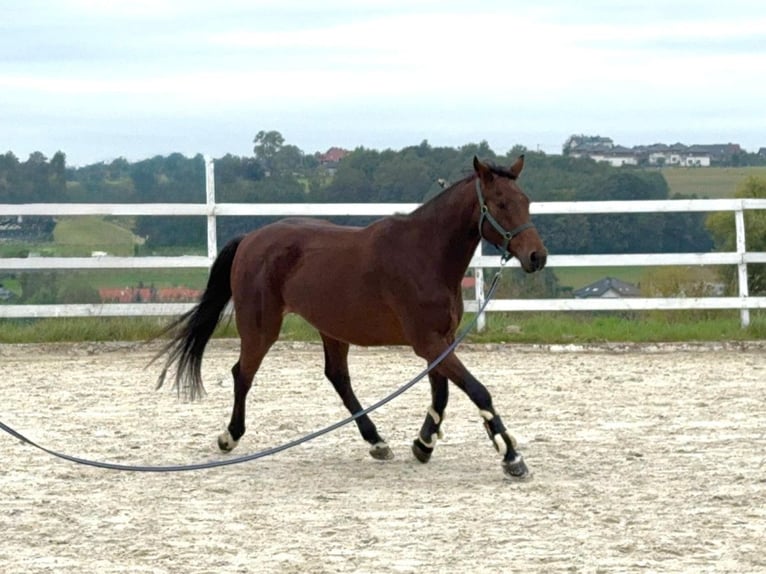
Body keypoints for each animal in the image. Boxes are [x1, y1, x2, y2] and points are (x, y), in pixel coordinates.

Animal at [154, 155, 547, 479]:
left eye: (526, 201)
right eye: (500, 203)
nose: (537, 257)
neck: (425, 254)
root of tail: (250, 238)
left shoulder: (443, 341)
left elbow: (442, 394)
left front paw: (423, 444)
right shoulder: (429, 342)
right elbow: (477, 391)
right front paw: (511, 457)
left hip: (332, 328)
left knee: (337, 377)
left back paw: (376, 441)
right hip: (260, 328)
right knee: (243, 374)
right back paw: (230, 436)